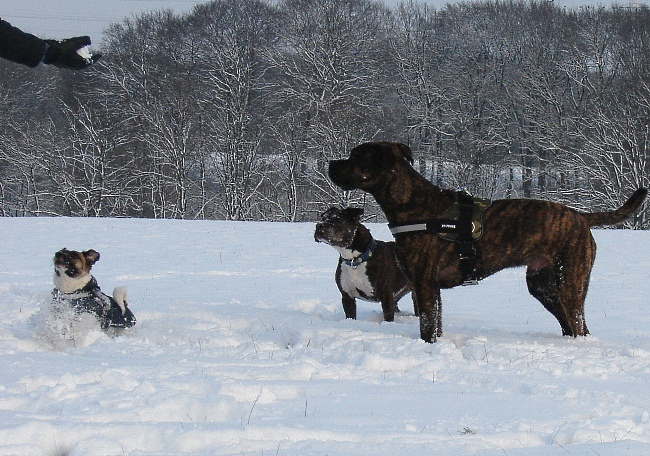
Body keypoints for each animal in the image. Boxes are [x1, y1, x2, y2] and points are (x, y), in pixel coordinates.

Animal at [326, 142, 644, 342]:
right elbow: (435, 326)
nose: (330, 163)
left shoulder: (423, 284)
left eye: (355, 157)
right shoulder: (430, 288)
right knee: (573, 325)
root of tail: (581, 217)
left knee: (578, 324)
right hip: (543, 284)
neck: (415, 205)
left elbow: (427, 328)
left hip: (569, 283)